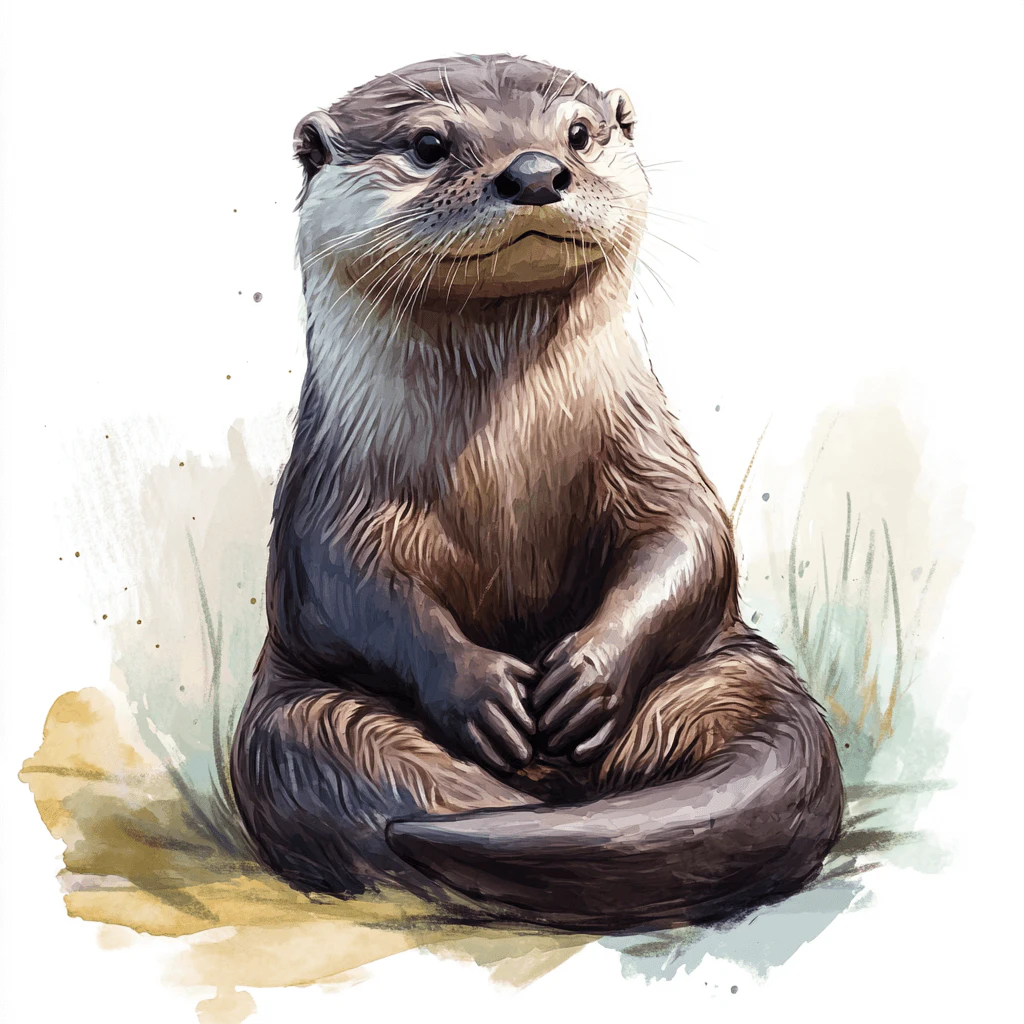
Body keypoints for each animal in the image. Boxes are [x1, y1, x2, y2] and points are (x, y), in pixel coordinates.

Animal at [230, 54, 844, 933]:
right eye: (427, 143)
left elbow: (690, 537)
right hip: (300, 713)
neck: (506, 454)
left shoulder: (649, 452)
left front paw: (589, 673)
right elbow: (350, 589)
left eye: (579, 134)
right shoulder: (335, 495)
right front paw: (475, 687)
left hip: (735, 676)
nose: (534, 171)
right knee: (369, 782)